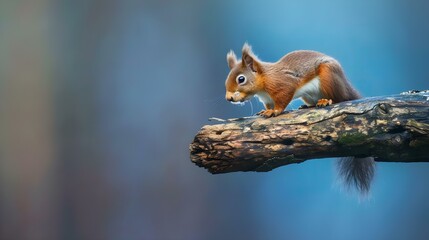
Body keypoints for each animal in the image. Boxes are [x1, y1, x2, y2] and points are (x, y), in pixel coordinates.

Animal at [224, 42, 374, 193]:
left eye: (241, 79)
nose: (228, 98)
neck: (265, 80)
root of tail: (345, 86)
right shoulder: (267, 99)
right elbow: (268, 106)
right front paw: (266, 111)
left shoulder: (284, 85)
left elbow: (282, 101)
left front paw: (275, 111)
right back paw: (308, 106)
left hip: (328, 77)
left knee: (338, 99)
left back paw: (326, 101)